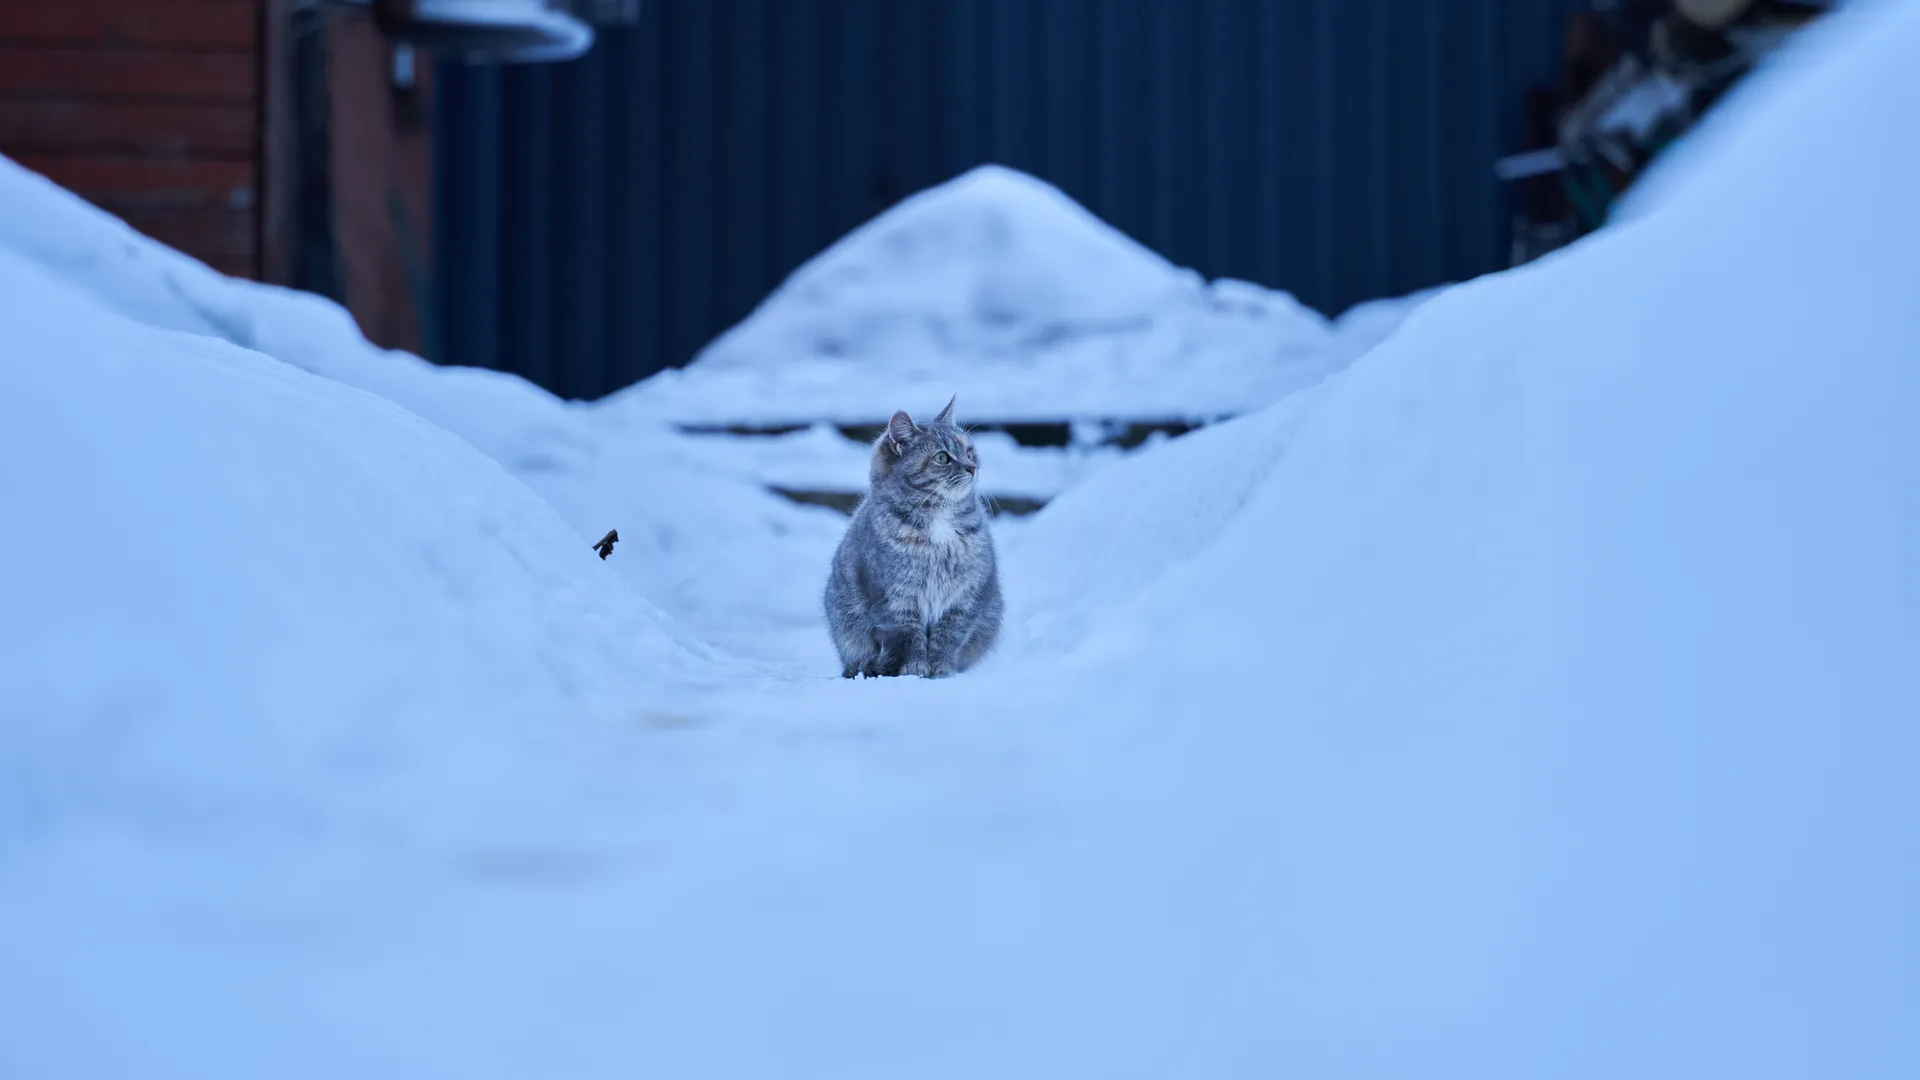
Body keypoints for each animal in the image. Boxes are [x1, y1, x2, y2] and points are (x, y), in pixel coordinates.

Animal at [825, 399, 1006, 676]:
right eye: (942, 457)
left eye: (969, 451)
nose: (972, 467)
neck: (939, 520)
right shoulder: (897, 597)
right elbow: (911, 636)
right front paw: (916, 667)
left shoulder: (966, 595)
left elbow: (948, 635)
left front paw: (941, 667)